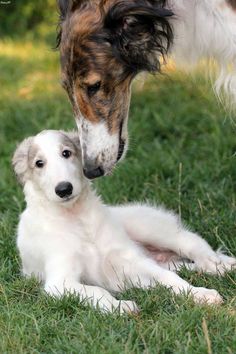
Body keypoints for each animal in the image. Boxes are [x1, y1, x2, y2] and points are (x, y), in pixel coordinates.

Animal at [13, 130, 236, 312]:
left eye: (66, 153)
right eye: (39, 163)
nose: (64, 189)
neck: (77, 219)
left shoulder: (130, 259)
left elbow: (168, 278)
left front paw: (201, 294)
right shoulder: (60, 282)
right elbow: (97, 291)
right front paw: (121, 307)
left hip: (149, 227)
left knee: (191, 243)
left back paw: (217, 263)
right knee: (185, 265)